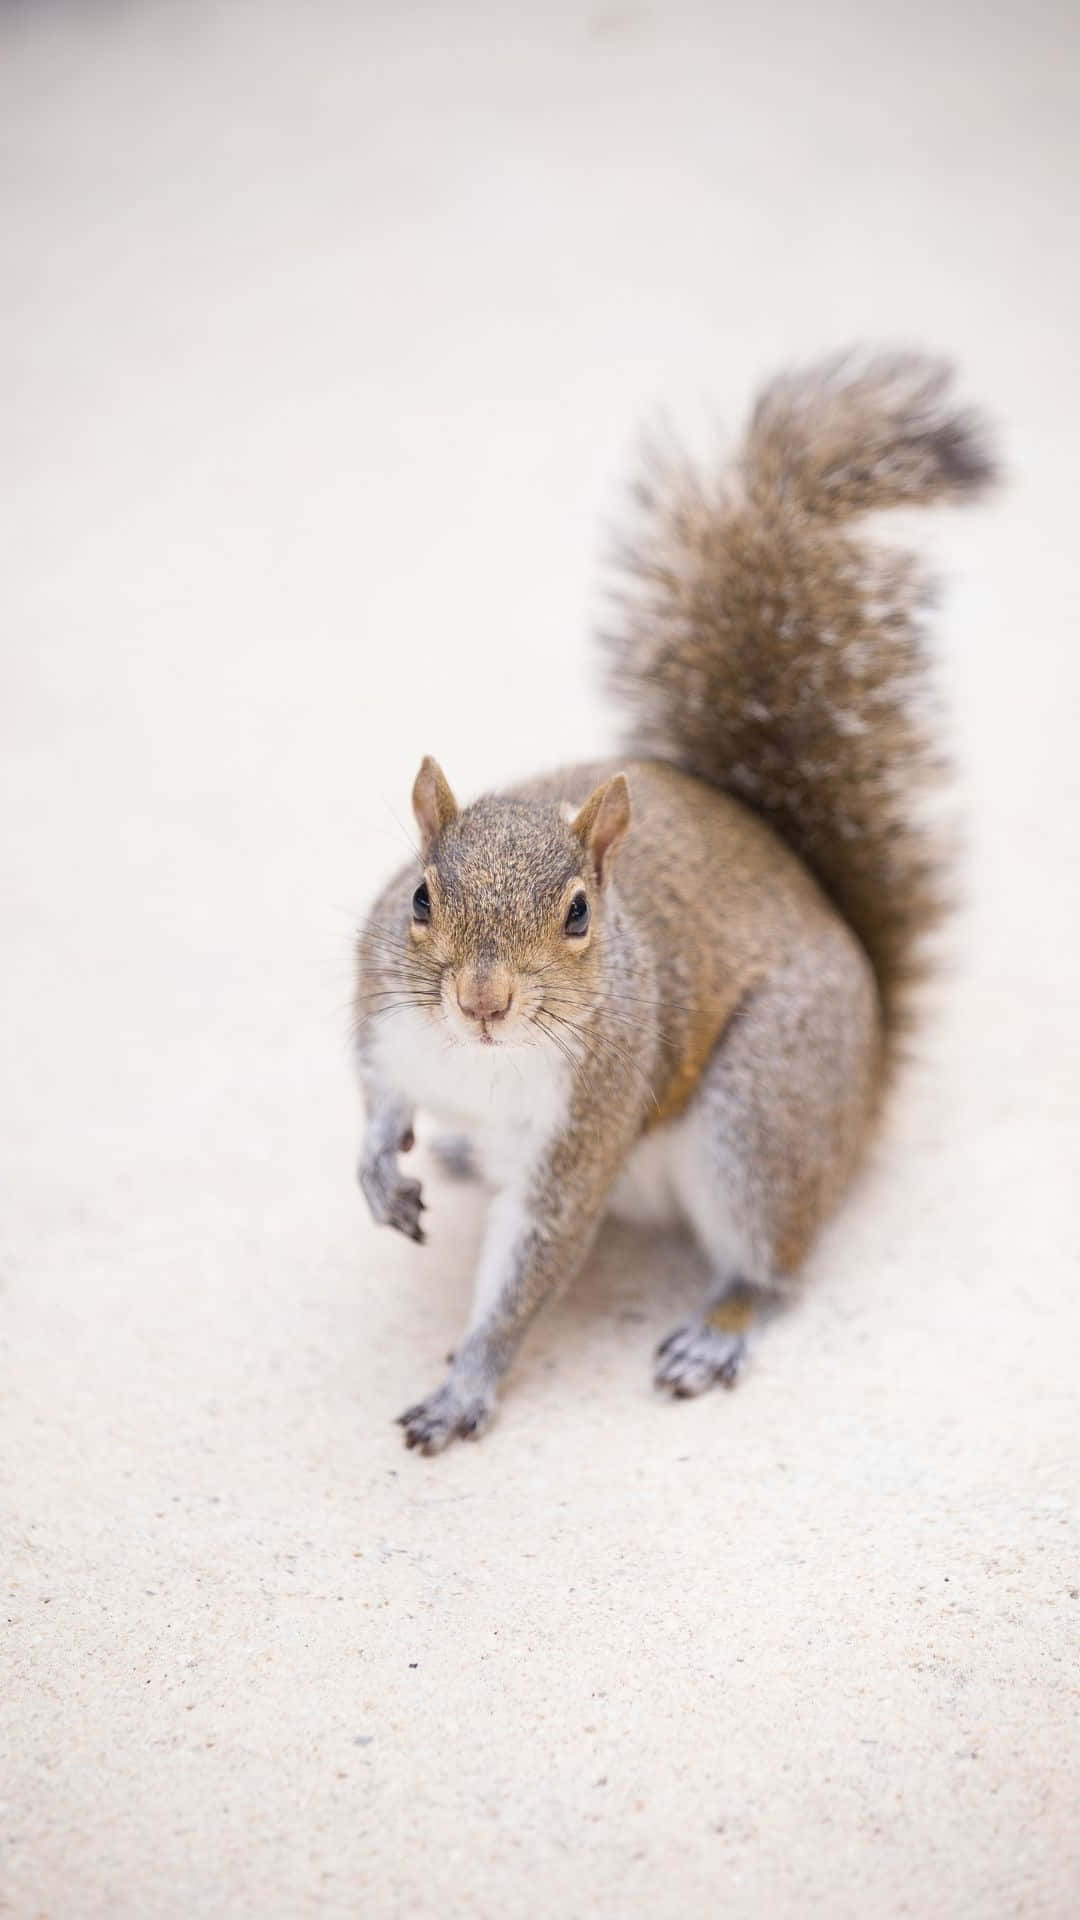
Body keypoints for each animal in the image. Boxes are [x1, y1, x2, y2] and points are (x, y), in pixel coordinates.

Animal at [353, 349, 991, 1451]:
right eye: (422, 896)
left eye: (578, 914)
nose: (482, 1002)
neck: (478, 1062)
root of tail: (865, 1080)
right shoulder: (380, 1002)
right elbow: (375, 1087)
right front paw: (375, 1169)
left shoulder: (590, 1122)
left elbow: (534, 1258)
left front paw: (470, 1381)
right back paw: (458, 1151)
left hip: (762, 1106)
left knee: (772, 1265)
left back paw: (718, 1329)